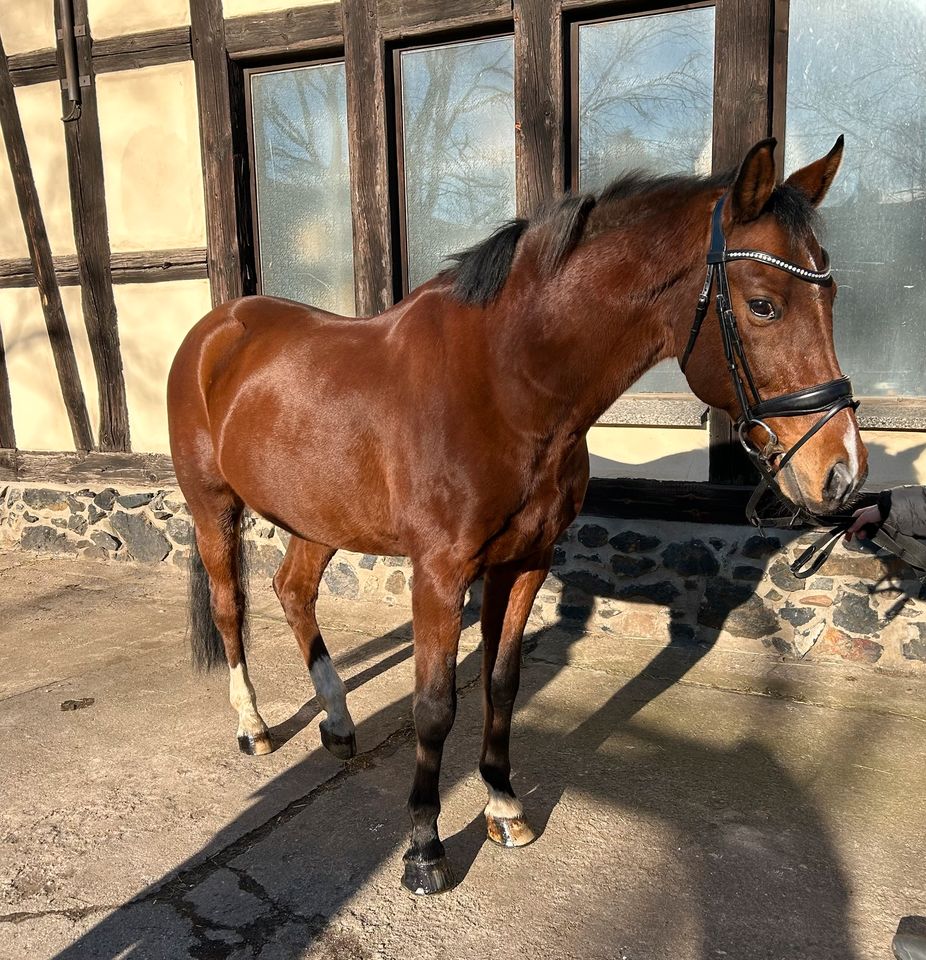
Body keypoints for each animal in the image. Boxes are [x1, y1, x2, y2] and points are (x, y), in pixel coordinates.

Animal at [169, 139, 872, 896]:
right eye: (764, 305)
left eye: (832, 295)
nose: (841, 471)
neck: (507, 384)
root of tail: (216, 329)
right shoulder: (440, 574)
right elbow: (434, 705)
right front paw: (424, 849)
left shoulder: (525, 562)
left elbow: (502, 684)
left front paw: (504, 807)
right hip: (212, 507)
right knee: (232, 606)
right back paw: (254, 726)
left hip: (316, 518)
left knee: (293, 591)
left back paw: (338, 722)